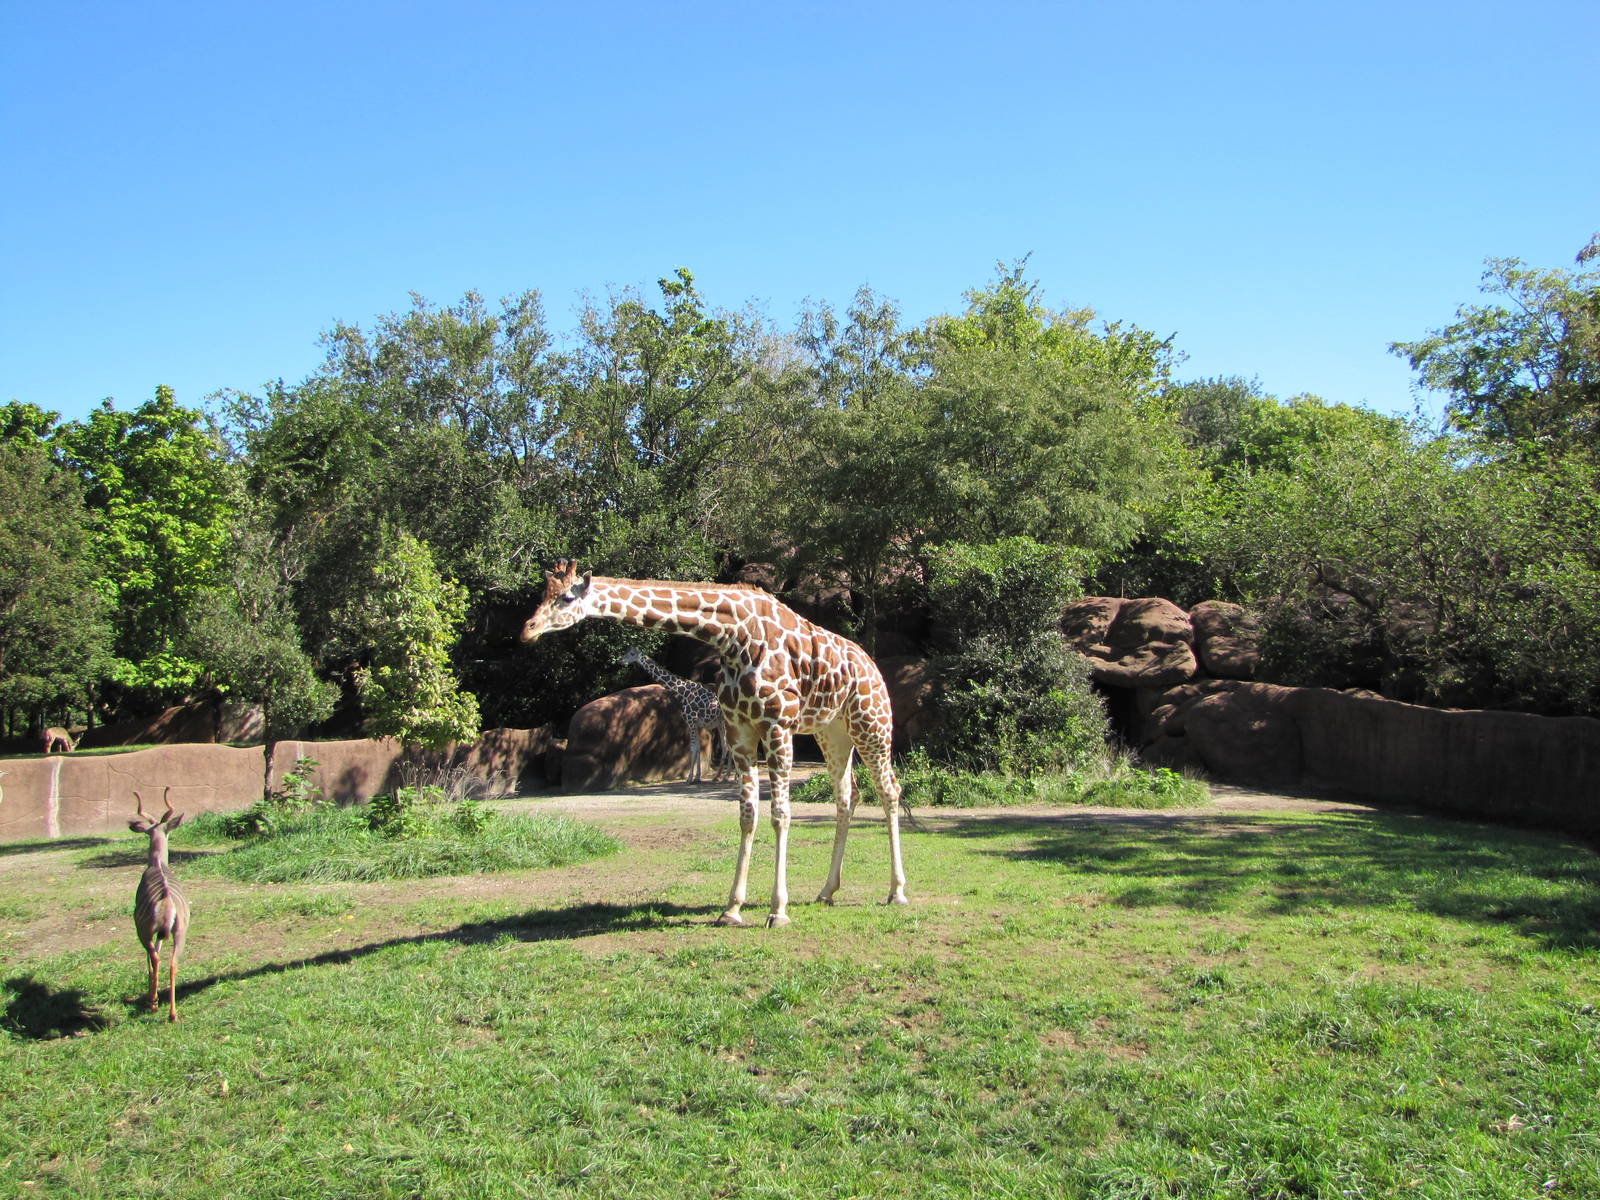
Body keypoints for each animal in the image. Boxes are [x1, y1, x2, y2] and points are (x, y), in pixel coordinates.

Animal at [619, 646, 732, 784]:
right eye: (626, 651)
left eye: (631, 654)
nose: (621, 660)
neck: (682, 692)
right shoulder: (696, 723)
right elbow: (698, 747)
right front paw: (697, 777)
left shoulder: (691, 721)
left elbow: (693, 748)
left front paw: (689, 778)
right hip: (722, 724)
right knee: (727, 746)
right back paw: (722, 776)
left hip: (725, 724)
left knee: (731, 746)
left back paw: (728, 777)